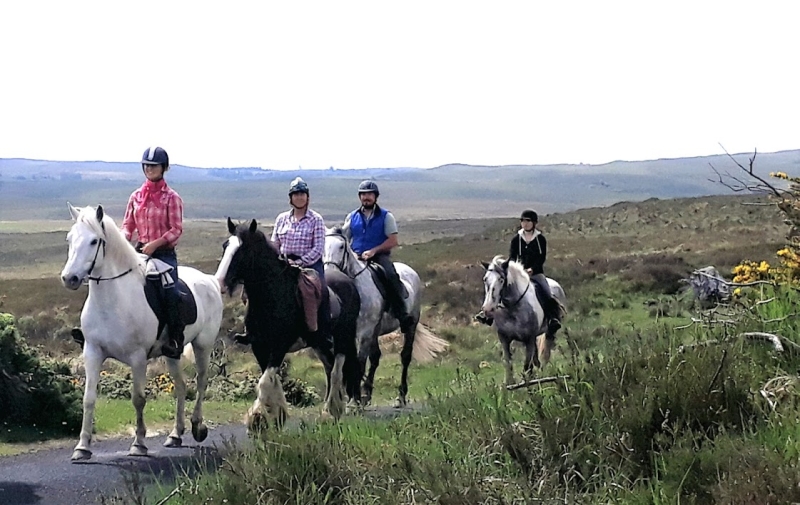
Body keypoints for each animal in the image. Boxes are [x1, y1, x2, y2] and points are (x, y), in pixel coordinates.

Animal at [59, 204, 223, 460]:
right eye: (69, 238)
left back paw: (197, 426)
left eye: (94, 241)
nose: (70, 278)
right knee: (181, 386)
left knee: (201, 381)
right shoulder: (93, 352)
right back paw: (175, 434)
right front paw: (82, 447)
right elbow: (88, 398)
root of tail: (210, 280)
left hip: (203, 345)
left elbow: (138, 399)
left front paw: (139, 443)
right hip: (171, 353)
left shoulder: (137, 358)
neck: (113, 301)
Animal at [324, 226, 450, 408]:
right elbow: (349, 363)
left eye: (341, 246)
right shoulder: (350, 333)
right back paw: (367, 394)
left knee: (405, 357)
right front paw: (353, 397)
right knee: (375, 358)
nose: (329, 271)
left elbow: (359, 363)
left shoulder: (364, 332)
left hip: (410, 326)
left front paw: (355, 401)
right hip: (376, 332)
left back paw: (400, 397)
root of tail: (410, 270)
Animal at [478, 256, 564, 386]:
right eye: (485, 279)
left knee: (545, 352)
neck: (512, 308)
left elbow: (527, 365)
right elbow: (508, 362)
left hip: (549, 331)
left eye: (501, 279)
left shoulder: (529, 338)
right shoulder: (504, 338)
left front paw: (527, 383)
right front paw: (509, 383)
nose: (488, 309)